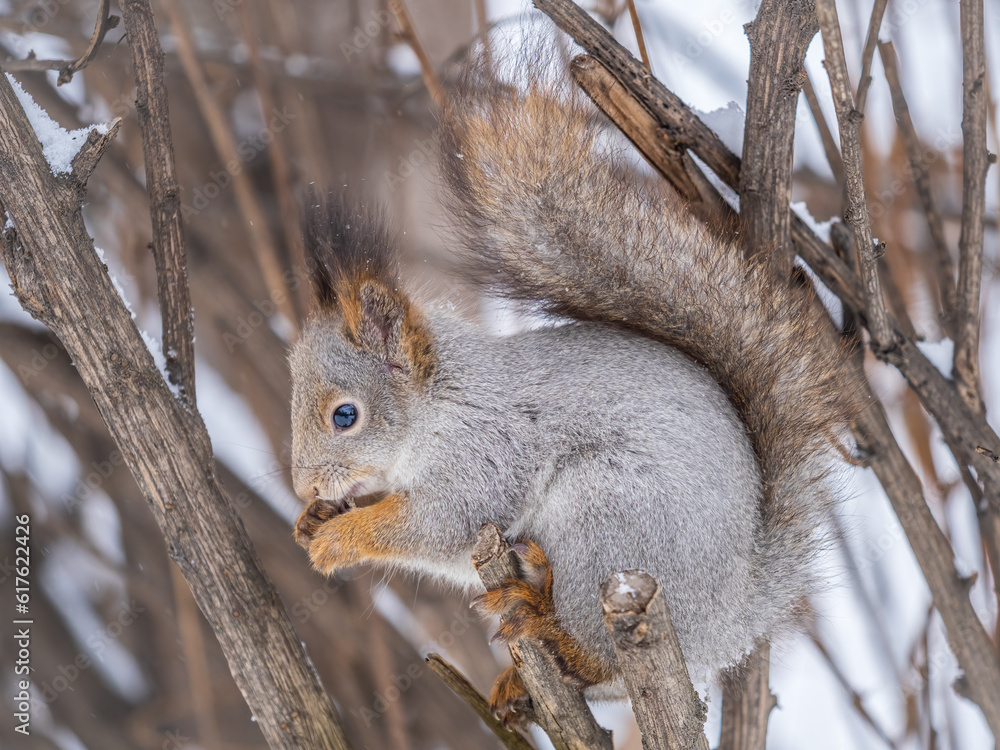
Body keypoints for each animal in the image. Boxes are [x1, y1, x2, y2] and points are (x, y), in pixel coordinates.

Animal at [289, 48, 859, 725]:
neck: (439, 403)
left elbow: (438, 523)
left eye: (345, 415)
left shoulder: (485, 452)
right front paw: (312, 519)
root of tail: (729, 618)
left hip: (605, 523)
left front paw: (338, 537)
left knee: (599, 654)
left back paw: (545, 623)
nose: (303, 484)